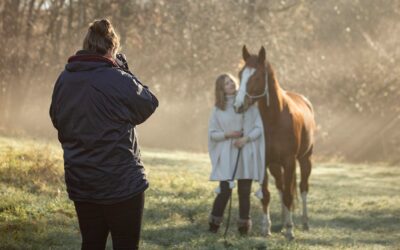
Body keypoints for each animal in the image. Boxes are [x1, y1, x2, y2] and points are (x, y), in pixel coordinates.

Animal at [234, 46, 316, 239]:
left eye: (257, 76)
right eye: (241, 74)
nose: (238, 105)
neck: (274, 119)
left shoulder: (290, 161)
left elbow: (288, 194)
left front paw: (290, 231)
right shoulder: (263, 161)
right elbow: (267, 194)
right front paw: (266, 228)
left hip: (305, 159)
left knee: (302, 188)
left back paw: (304, 222)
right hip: (275, 165)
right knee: (281, 187)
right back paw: (284, 221)